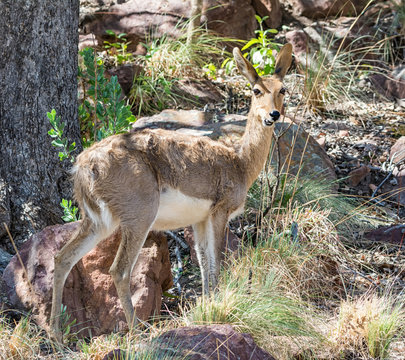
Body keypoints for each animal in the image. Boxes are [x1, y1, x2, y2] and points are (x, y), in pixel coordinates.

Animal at [49, 42, 292, 340]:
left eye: (282, 89)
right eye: (257, 90)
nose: (273, 115)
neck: (241, 163)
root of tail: (83, 166)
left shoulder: (199, 220)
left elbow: (205, 264)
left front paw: (208, 309)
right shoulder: (220, 212)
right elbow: (217, 262)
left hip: (97, 221)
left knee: (63, 258)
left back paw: (56, 336)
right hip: (139, 217)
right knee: (119, 270)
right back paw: (137, 331)